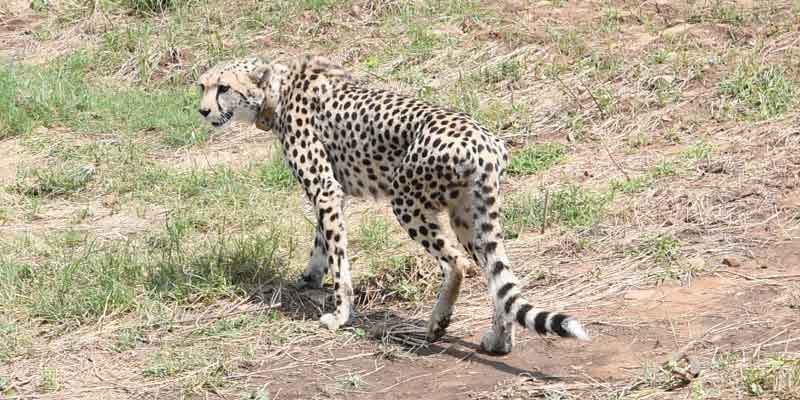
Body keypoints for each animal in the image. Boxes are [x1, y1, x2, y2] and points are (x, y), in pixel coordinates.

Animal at [196, 55, 589, 355]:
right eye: (202, 86)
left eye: (224, 88)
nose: (202, 111)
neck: (275, 90)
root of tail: (485, 141)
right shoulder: (333, 192)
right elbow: (322, 241)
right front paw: (309, 277)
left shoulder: (325, 188)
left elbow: (339, 260)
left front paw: (340, 314)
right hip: (468, 215)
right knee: (500, 278)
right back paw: (498, 341)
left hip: (406, 200)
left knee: (458, 264)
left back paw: (438, 323)